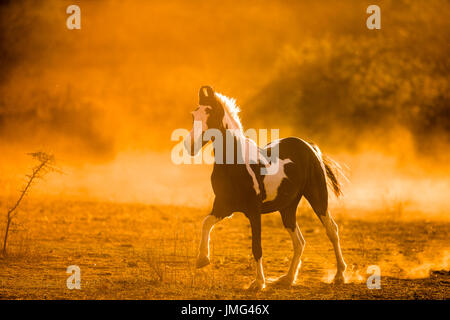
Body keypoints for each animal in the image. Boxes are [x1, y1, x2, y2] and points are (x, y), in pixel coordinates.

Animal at [185, 85, 346, 290]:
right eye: (193, 114)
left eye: (211, 114)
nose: (190, 145)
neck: (235, 164)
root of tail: (309, 146)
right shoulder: (223, 206)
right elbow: (206, 222)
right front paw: (202, 259)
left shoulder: (254, 210)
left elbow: (257, 246)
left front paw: (258, 283)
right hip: (287, 207)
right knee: (299, 242)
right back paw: (287, 278)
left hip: (318, 197)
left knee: (332, 230)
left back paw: (339, 275)